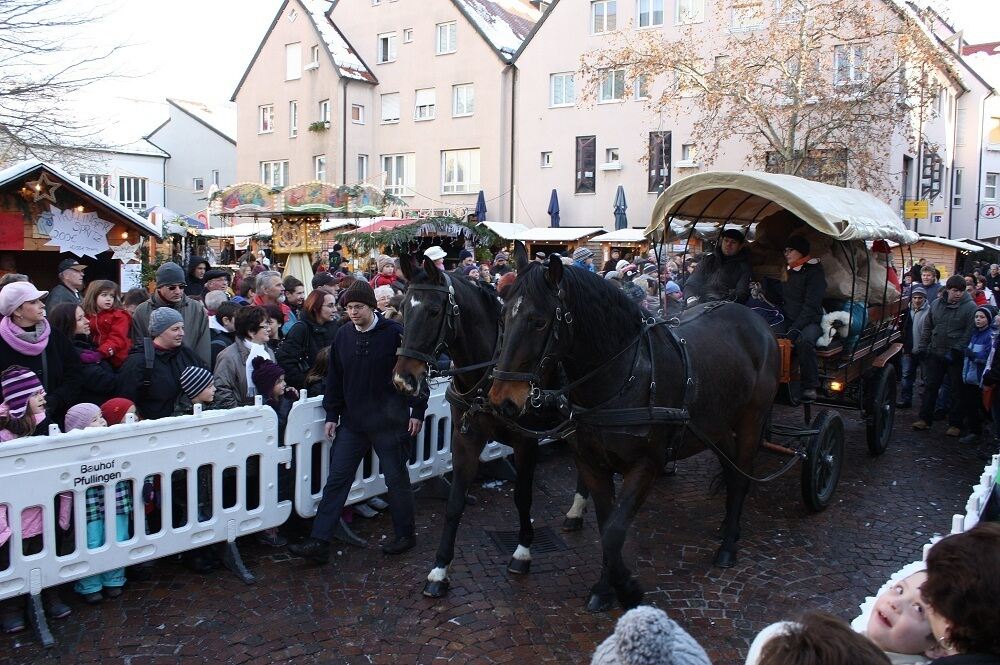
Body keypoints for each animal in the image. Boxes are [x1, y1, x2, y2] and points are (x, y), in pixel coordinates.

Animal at [390, 253, 580, 596]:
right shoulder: (465, 439)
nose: (403, 379)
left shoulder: (526, 441)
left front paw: (522, 552)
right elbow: (454, 503)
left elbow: (522, 496)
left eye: (434, 311)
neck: (489, 374)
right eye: (404, 309)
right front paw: (439, 570)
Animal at [490, 241, 780, 608]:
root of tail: (754, 319)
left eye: (539, 322)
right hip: (715, 424)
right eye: (502, 316)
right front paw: (604, 587)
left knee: (741, 479)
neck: (623, 378)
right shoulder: (591, 463)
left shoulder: (646, 465)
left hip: (751, 420)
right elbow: (605, 525)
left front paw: (627, 588)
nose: (502, 400)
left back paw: (728, 546)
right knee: (730, 472)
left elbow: (615, 531)